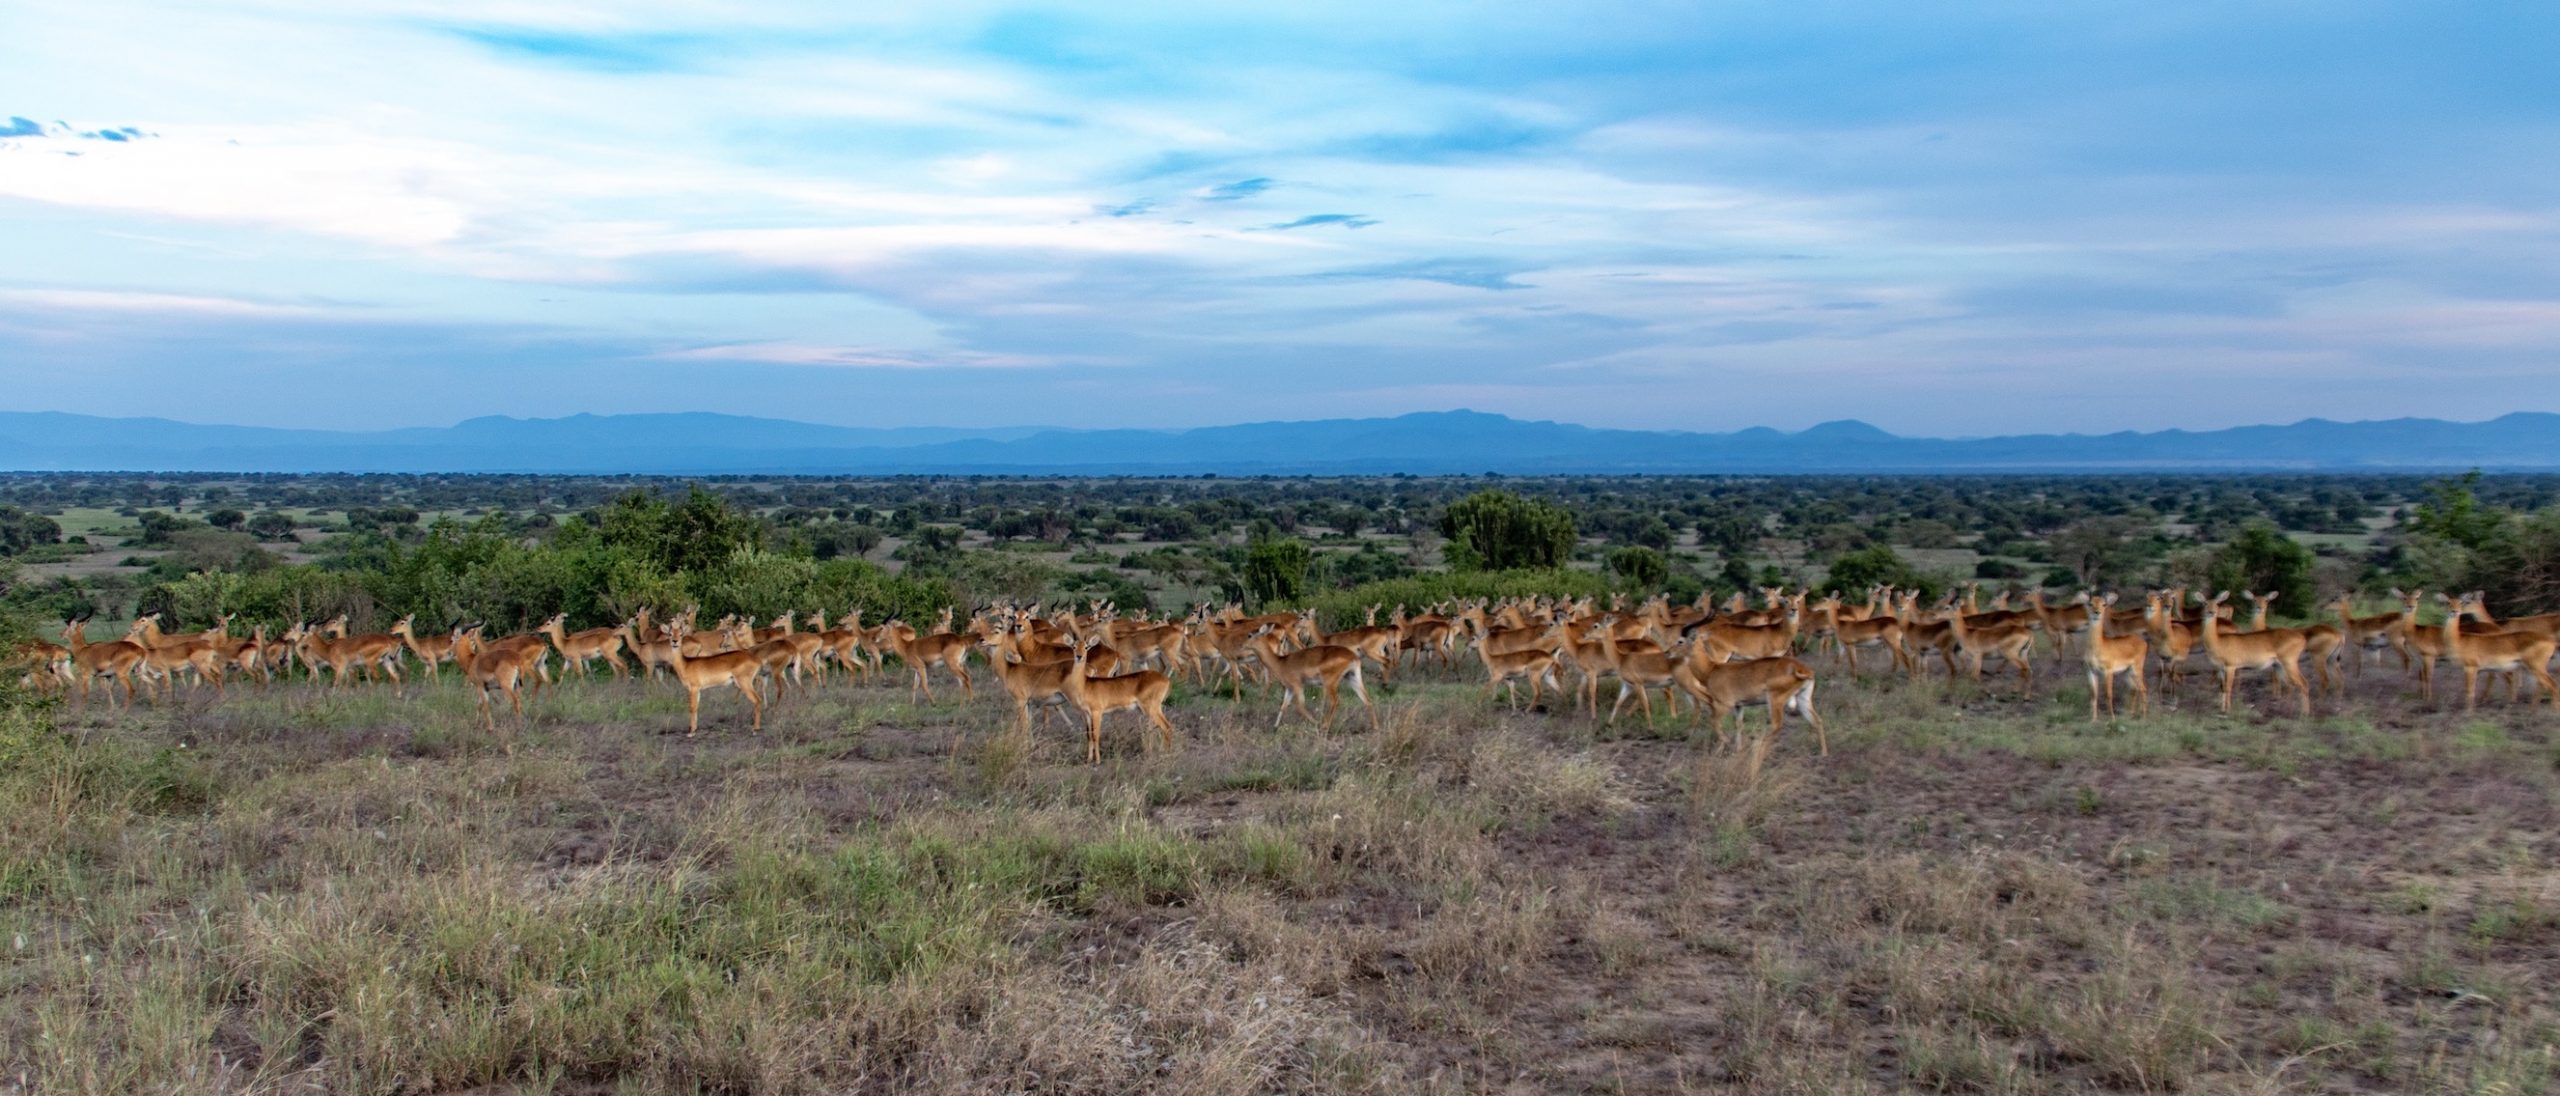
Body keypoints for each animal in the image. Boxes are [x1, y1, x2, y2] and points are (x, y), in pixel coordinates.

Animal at [1059, 632, 1177, 763]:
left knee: (1167, 727)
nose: (1079, 656)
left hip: (1151, 708)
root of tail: (1166, 680)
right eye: (1073, 646)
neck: (1085, 685)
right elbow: (1089, 735)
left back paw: (1166, 754)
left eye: (1086, 647)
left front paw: (1098, 761)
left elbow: (1096, 735)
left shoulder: (1097, 712)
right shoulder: (1087, 714)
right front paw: (1089, 759)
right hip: (1155, 709)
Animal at [1244, 619, 1372, 732]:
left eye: (1249, 635)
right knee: (1367, 700)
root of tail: (1353, 657)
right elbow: (1283, 706)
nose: (1242, 645)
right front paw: (1275, 727)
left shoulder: (1298, 686)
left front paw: (1316, 723)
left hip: (1330, 683)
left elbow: (1300, 707)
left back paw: (1324, 726)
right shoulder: (1289, 688)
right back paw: (1374, 728)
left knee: (1336, 701)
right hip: (1353, 678)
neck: (1281, 662)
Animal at [2088, 594, 2150, 722]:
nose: (2097, 612)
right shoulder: (2091, 671)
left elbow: (2108, 694)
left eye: (2104, 604)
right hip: (2127, 672)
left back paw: (2144, 717)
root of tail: (2143, 642)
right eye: (2090, 603)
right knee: (2134, 688)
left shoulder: (2108, 671)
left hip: (2137, 669)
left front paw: (2112, 718)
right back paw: (2131, 714)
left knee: (2143, 689)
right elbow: (2093, 695)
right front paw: (2093, 720)